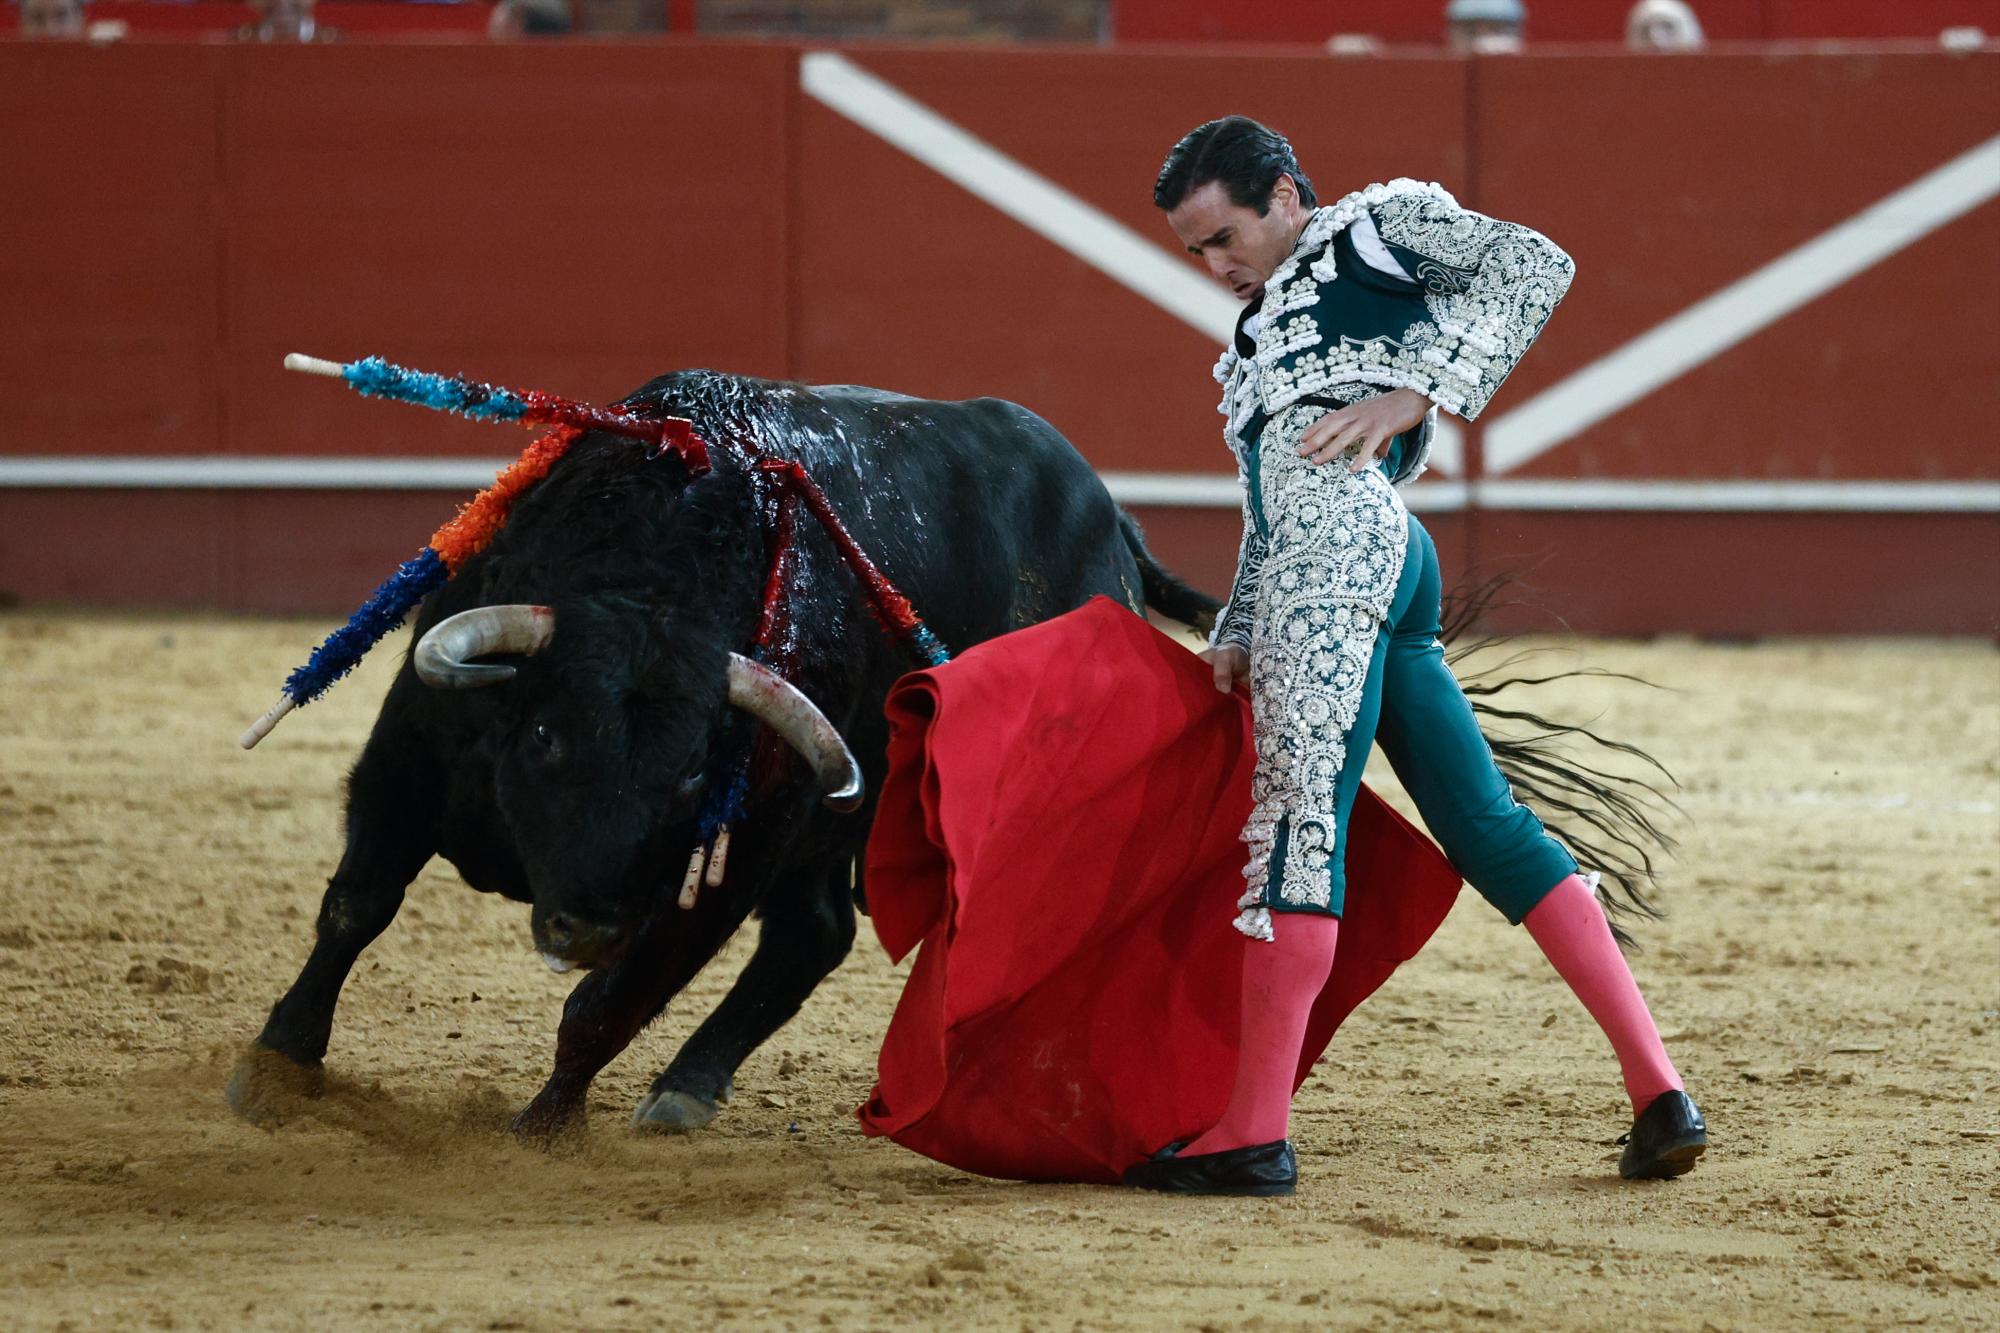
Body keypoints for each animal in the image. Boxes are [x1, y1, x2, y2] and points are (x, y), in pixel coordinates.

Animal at [232, 368, 1224, 1136]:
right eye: (547, 734)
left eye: (689, 775)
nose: (585, 927)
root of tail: (1117, 533)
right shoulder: (407, 759)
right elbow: (356, 905)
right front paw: (277, 1066)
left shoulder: (726, 861)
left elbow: (607, 1004)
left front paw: (543, 1131)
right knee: (814, 932)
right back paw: (688, 1086)